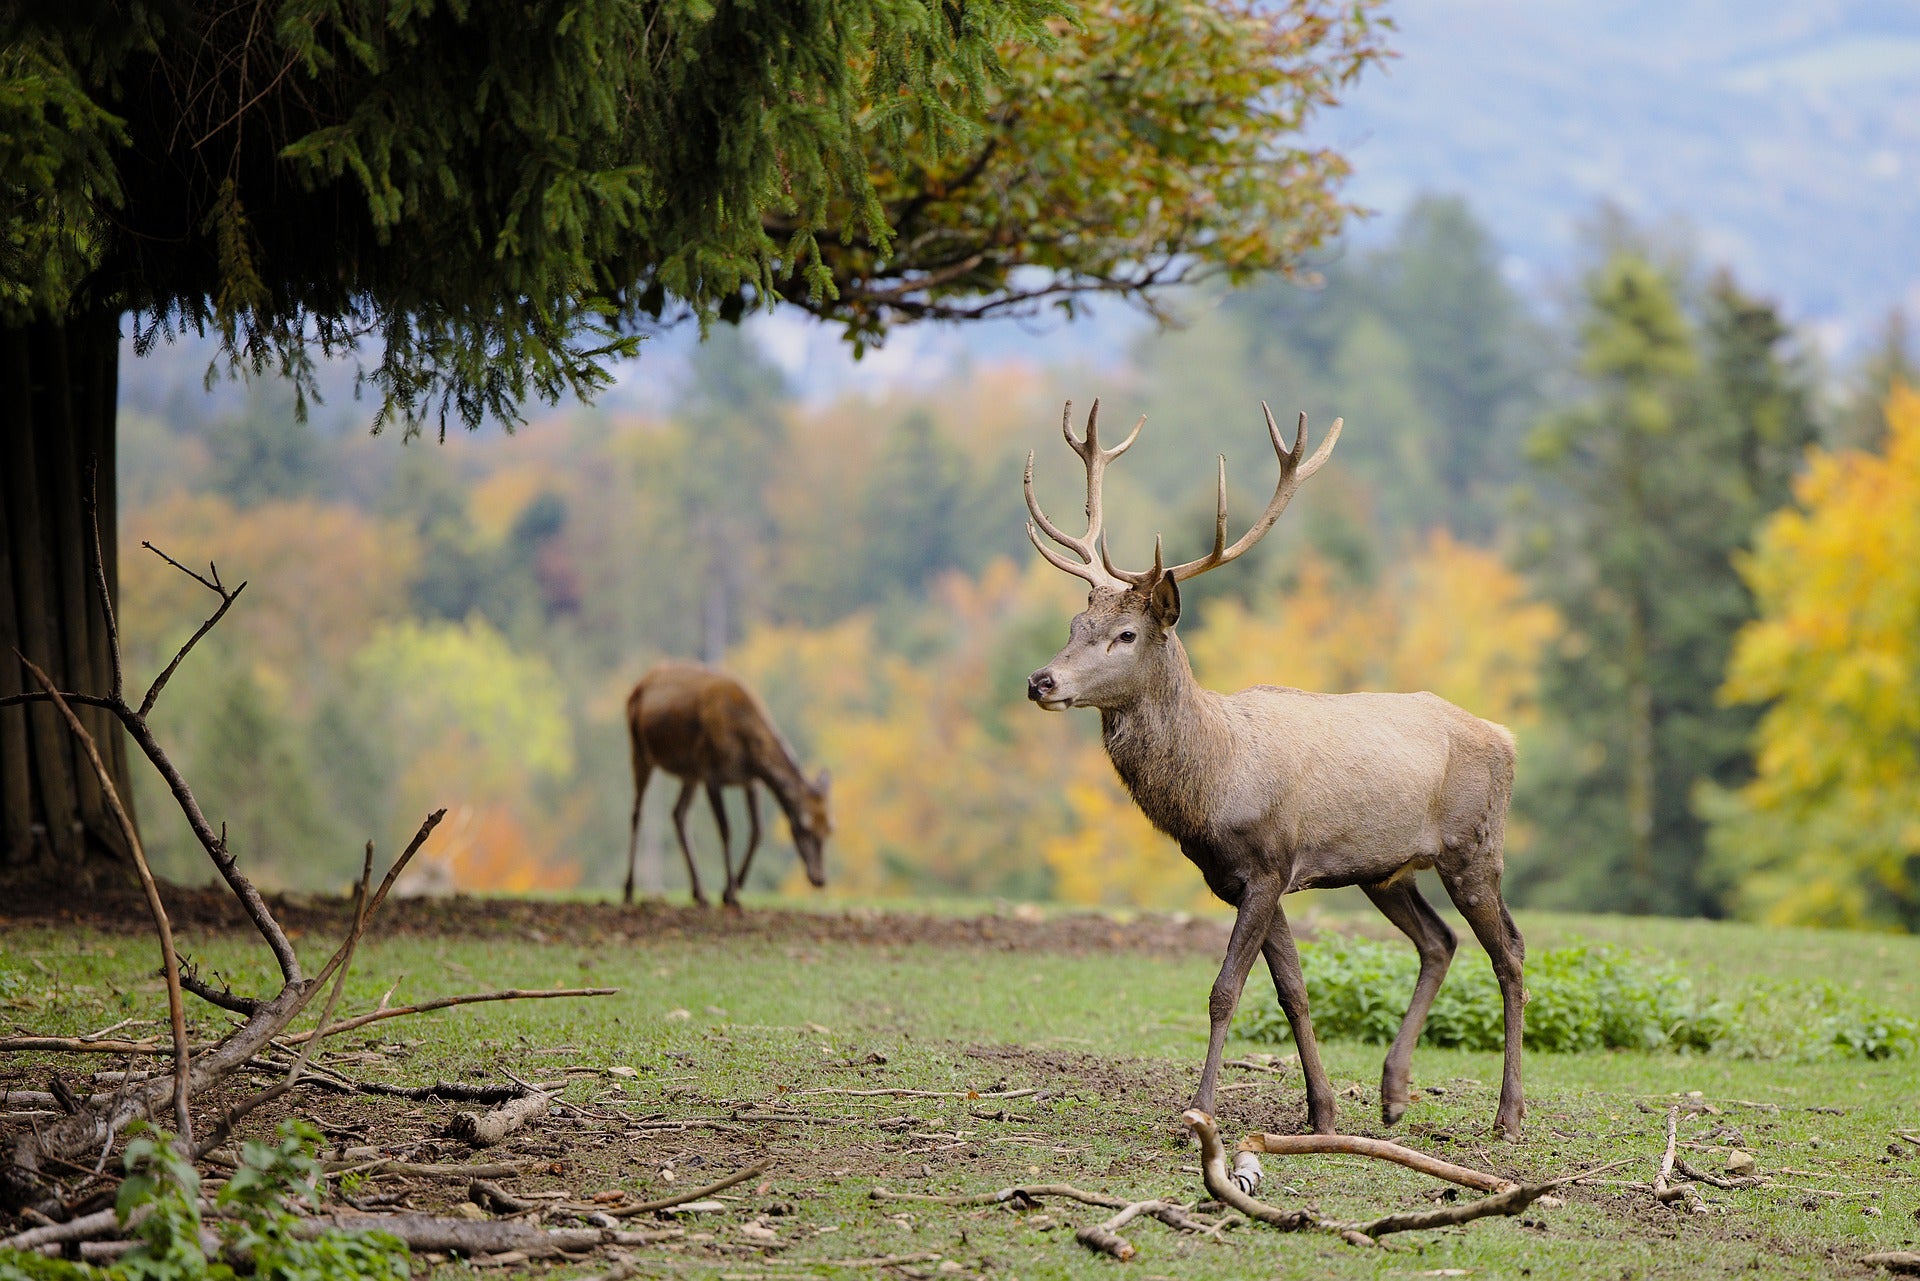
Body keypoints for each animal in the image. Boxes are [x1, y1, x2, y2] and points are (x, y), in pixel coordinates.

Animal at [625, 668, 829, 906]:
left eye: (829, 829)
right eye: (805, 829)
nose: (820, 878)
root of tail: (641, 682)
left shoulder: (751, 781)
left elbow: (757, 830)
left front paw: (733, 888)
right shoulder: (711, 773)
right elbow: (725, 830)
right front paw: (729, 892)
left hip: (690, 772)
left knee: (679, 813)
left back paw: (700, 893)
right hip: (640, 749)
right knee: (637, 813)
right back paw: (628, 889)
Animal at [1021, 403, 1528, 1144]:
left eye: (1126, 635)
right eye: (1073, 623)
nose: (1041, 680)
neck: (1213, 782)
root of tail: (1506, 737)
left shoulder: (1268, 862)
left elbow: (1224, 990)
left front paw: (1200, 1109)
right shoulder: (1250, 879)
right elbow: (1292, 990)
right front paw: (1322, 1111)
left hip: (1475, 845)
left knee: (1510, 951)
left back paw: (1508, 1113)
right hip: (1386, 868)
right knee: (1439, 941)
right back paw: (1393, 1094)